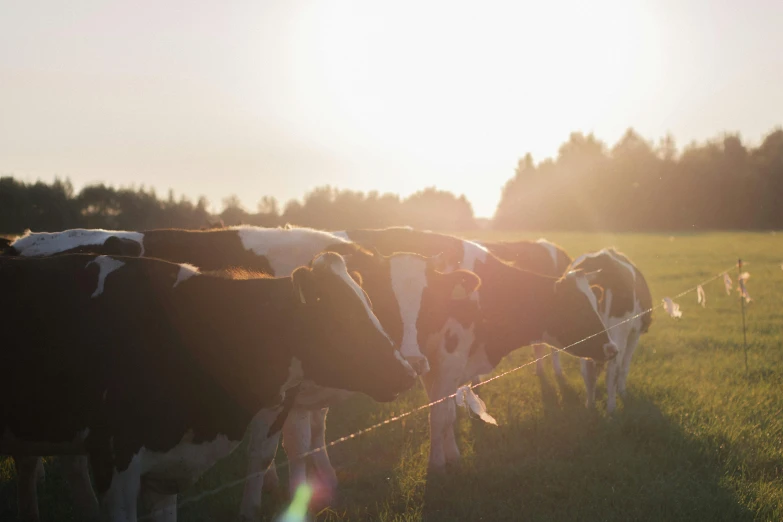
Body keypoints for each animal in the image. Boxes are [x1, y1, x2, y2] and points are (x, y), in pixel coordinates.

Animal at [7, 226, 484, 516]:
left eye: (429, 302)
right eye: (383, 295)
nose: (414, 363)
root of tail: (25, 240)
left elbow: (304, 440)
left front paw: (321, 482)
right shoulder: (286, 395)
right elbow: (289, 447)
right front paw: (293, 495)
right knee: (45, 465)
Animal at [568, 246, 656, 412]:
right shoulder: (634, 334)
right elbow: (624, 367)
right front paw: (623, 393)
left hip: (585, 336)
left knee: (587, 371)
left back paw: (590, 406)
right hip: (619, 331)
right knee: (613, 370)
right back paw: (611, 409)